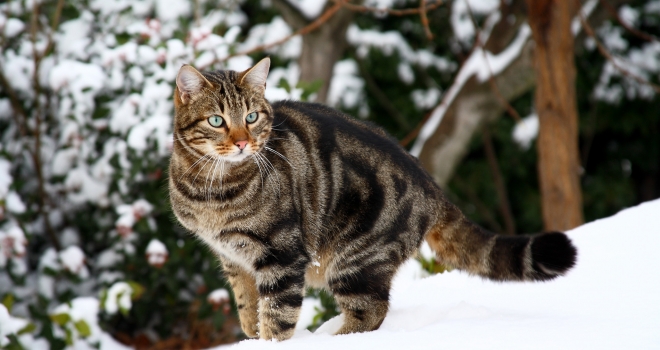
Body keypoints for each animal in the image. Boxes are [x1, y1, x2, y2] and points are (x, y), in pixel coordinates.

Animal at [169, 58, 576, 342]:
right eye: (217, 120)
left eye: (252, 117)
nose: (243, 142)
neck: (211, 189)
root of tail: (432, 185)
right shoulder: (233, 259)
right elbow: (248, 311)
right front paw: (252, 336)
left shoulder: (281, 254)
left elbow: (276, 318)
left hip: (356, 259)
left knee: (371, 312)